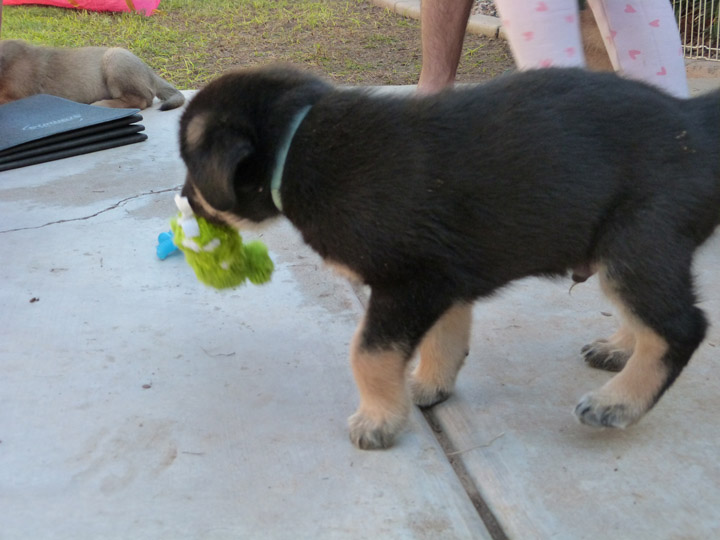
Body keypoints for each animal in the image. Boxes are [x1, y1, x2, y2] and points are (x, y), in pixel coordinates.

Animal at [179, 65, 720, 450]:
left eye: (188, 167)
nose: (183, 200)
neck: (298, 145)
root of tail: (694, 122)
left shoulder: (411, 283)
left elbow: (367, 353)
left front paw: (378, 419)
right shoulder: (445, 280)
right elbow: (446, 337)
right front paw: (428, 386)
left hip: (637, 240)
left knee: (680, 326)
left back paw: (619, 404)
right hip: (627, 250)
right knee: (647, 316)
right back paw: (620, 347)